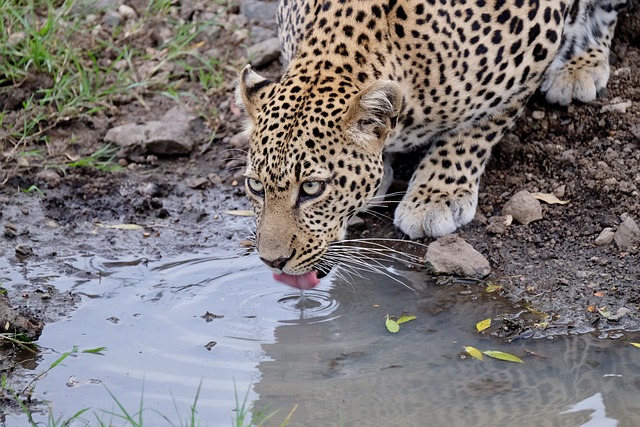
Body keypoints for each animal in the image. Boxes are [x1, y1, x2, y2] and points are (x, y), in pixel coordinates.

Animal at [236, 0, 632, 290]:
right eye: (255, 186)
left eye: (312, 189)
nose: (271, 261)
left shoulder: (534, 50)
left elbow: (482, 123)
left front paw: (437, 194)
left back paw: (580, 65)